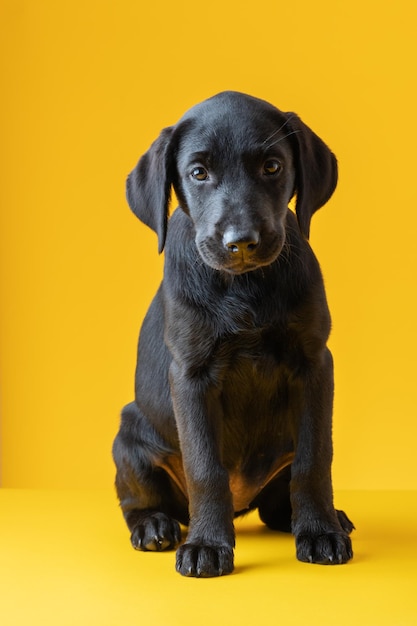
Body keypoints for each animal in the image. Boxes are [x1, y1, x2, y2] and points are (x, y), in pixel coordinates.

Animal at [112, 91, 352, 576]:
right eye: (198, 173)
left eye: (272, 167)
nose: (241, 242)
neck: (245, 286)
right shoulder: (191, 374)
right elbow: (205, 467)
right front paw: (206, 544)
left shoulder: (315, 364)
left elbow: (315, 459)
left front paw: (320, 532)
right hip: (127, 436)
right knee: (137, 500)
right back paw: (153, 526)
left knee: (283, 496)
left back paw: (321, 517)